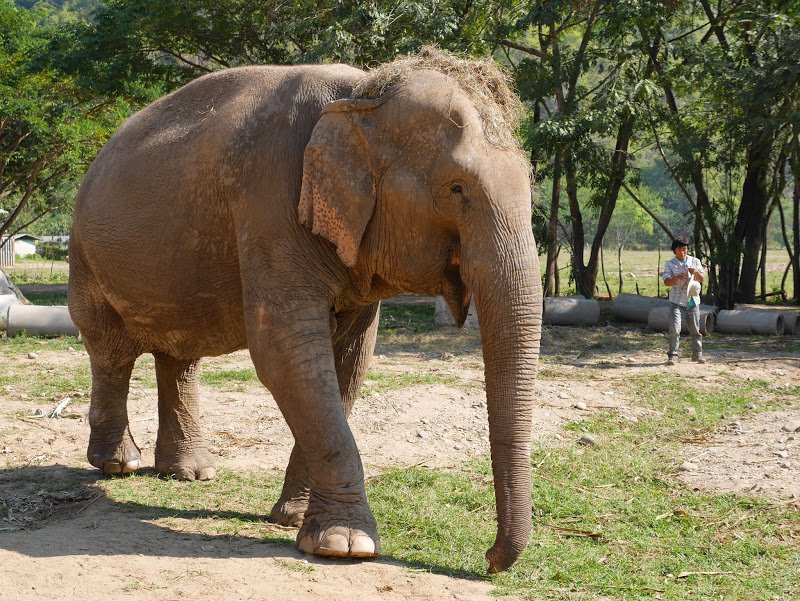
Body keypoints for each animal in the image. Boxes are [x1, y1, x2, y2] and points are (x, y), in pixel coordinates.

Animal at [68, 47, 542, 573]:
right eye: (457, 188)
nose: (490, 560)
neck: (362, 93)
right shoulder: (269, 202)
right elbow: (287, 353)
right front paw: (345, 545)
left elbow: (348, 362)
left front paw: (295, 520)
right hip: (85, 256)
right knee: (110, 349)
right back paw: (119, 464)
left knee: (179, 355)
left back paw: (191, 473)